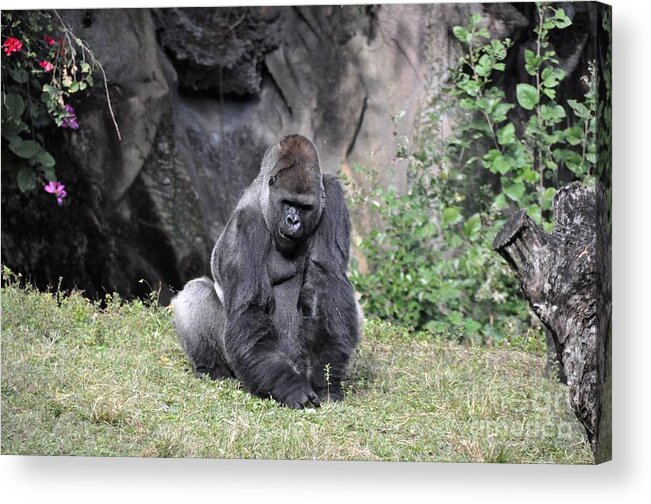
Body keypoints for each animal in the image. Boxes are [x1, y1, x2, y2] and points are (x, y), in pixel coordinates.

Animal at [171, 135, 360, 410]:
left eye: (304, 207)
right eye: (288, 203)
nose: (293, 221)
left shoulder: (333, 199)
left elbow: (326, 282)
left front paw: (324, 378)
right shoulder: (245, 227)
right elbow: (250, 308)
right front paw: (290, 387)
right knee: (196, 292)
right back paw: (212, 369)